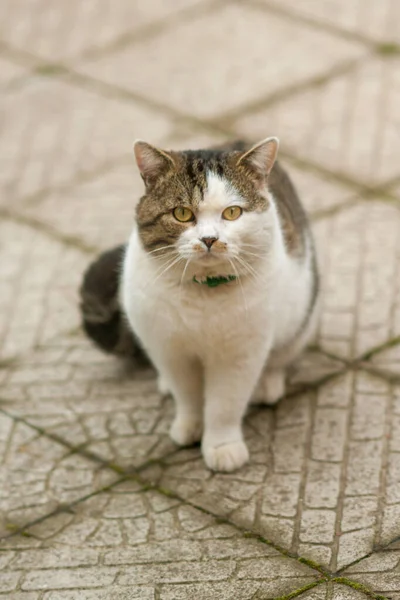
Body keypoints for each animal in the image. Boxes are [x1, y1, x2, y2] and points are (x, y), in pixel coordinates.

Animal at [81, 138, 318, 472]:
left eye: (232, 212)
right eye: (182, 213)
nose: (209, 239)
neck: (204, 294)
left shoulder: (240, 354)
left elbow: (224, 405)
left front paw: (222, 447)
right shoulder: (170, 349)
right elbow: (189, 395)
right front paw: (190, 428)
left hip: (299, 319)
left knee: (279, 357)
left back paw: (266, 385)